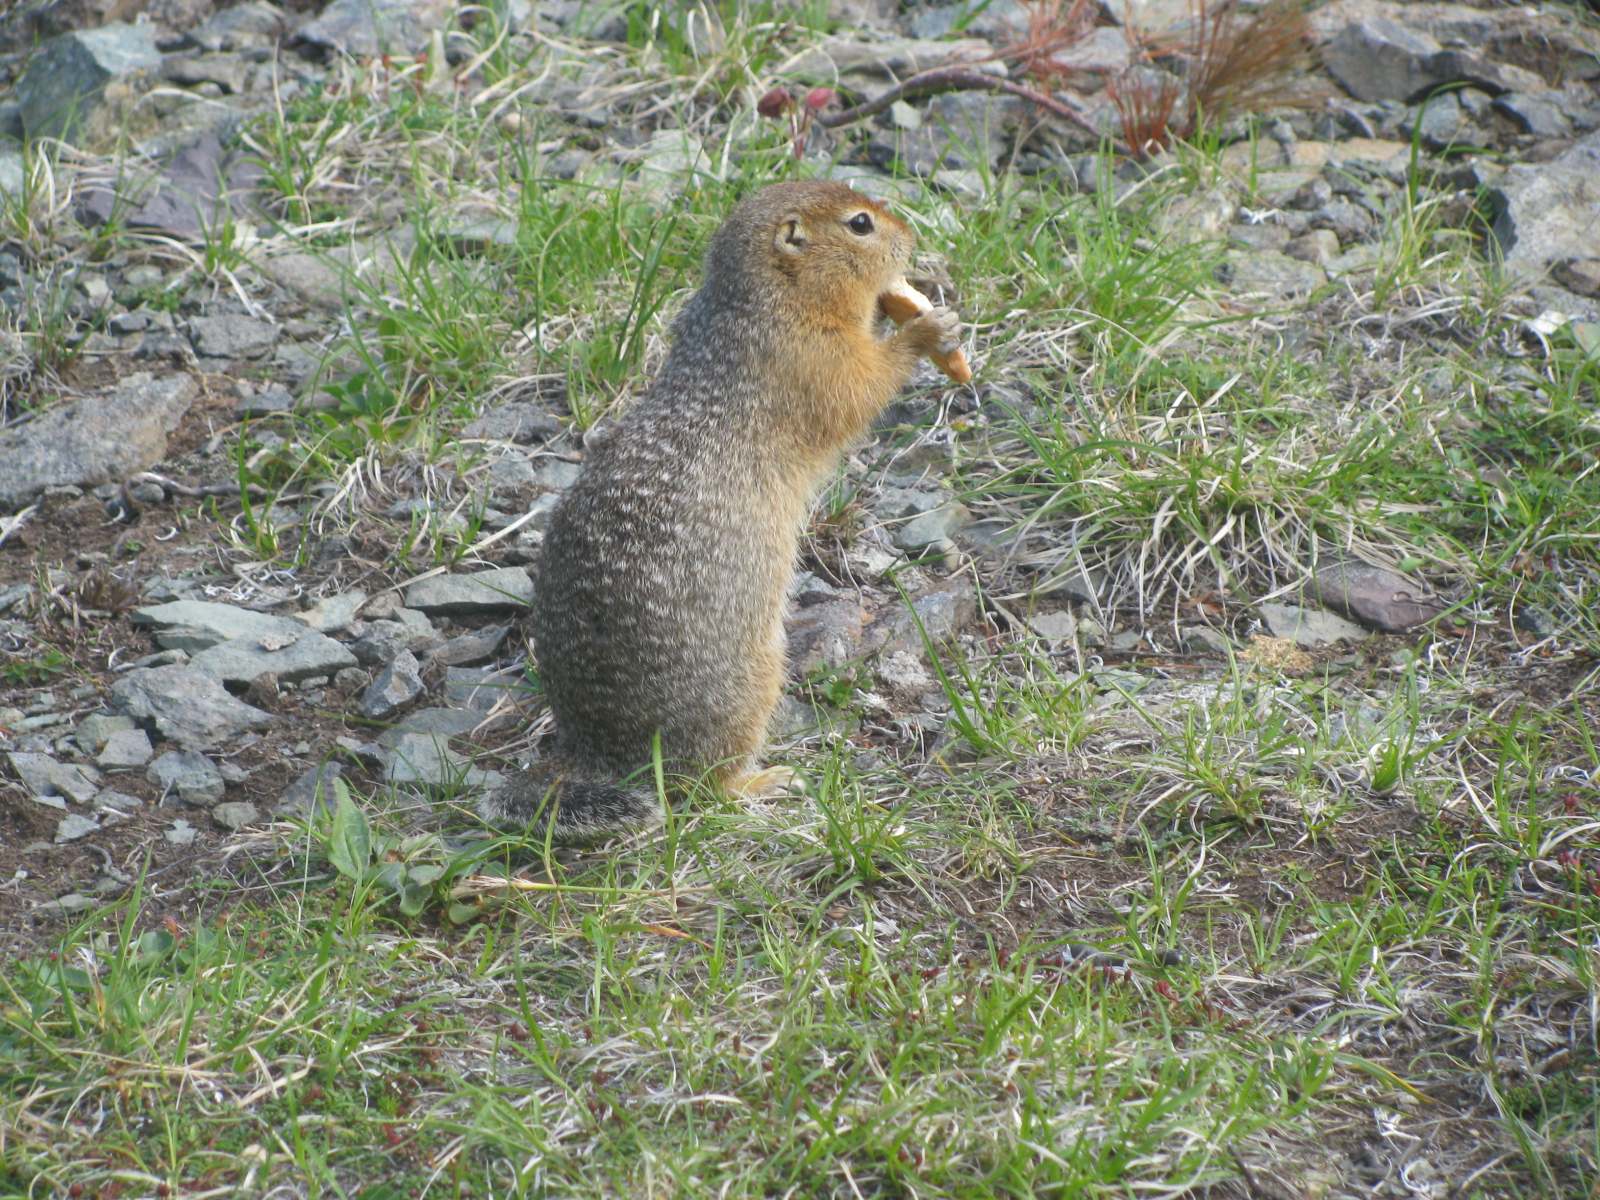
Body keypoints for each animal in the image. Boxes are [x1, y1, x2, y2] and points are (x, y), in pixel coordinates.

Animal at [476, 180, 960, 838]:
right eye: (860, 224)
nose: (912, 237)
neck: (760, 301)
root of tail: (598, 754)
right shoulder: (811, 355)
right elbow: (861, 384)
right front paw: (927, 329)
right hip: (747, 689)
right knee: (704, 786)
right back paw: (767, 780)